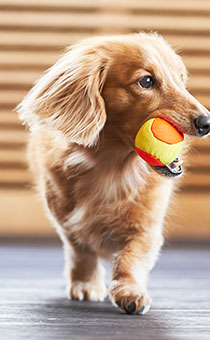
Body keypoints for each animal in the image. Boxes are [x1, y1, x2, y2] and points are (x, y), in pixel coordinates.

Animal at [16, 33, 210, 314]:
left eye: (181, 78)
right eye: (146, 81)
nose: (207, 122)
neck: (111, 170)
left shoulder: (146, 226)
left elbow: (131, 257)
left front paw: (130, 291)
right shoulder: (67, 221)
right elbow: (81, 251)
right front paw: (86, 284)